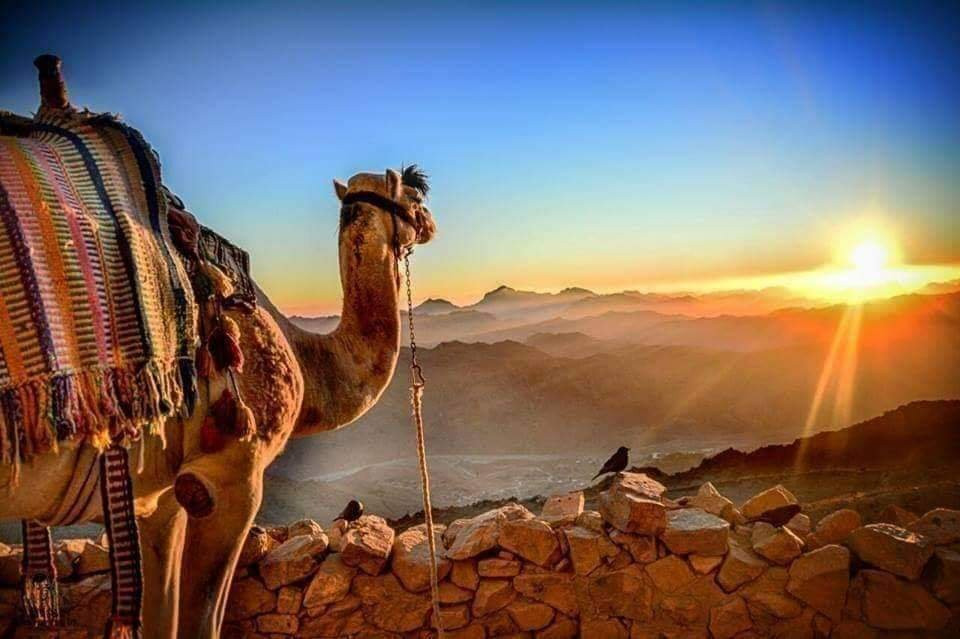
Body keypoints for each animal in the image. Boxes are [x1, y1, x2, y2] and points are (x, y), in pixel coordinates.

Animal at [0, 57, 437, 637]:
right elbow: (202, 615)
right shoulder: (227, 475)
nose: (431, 223)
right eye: (415, 196)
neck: (303, 358)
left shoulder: (157, 495)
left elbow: (160, 613)